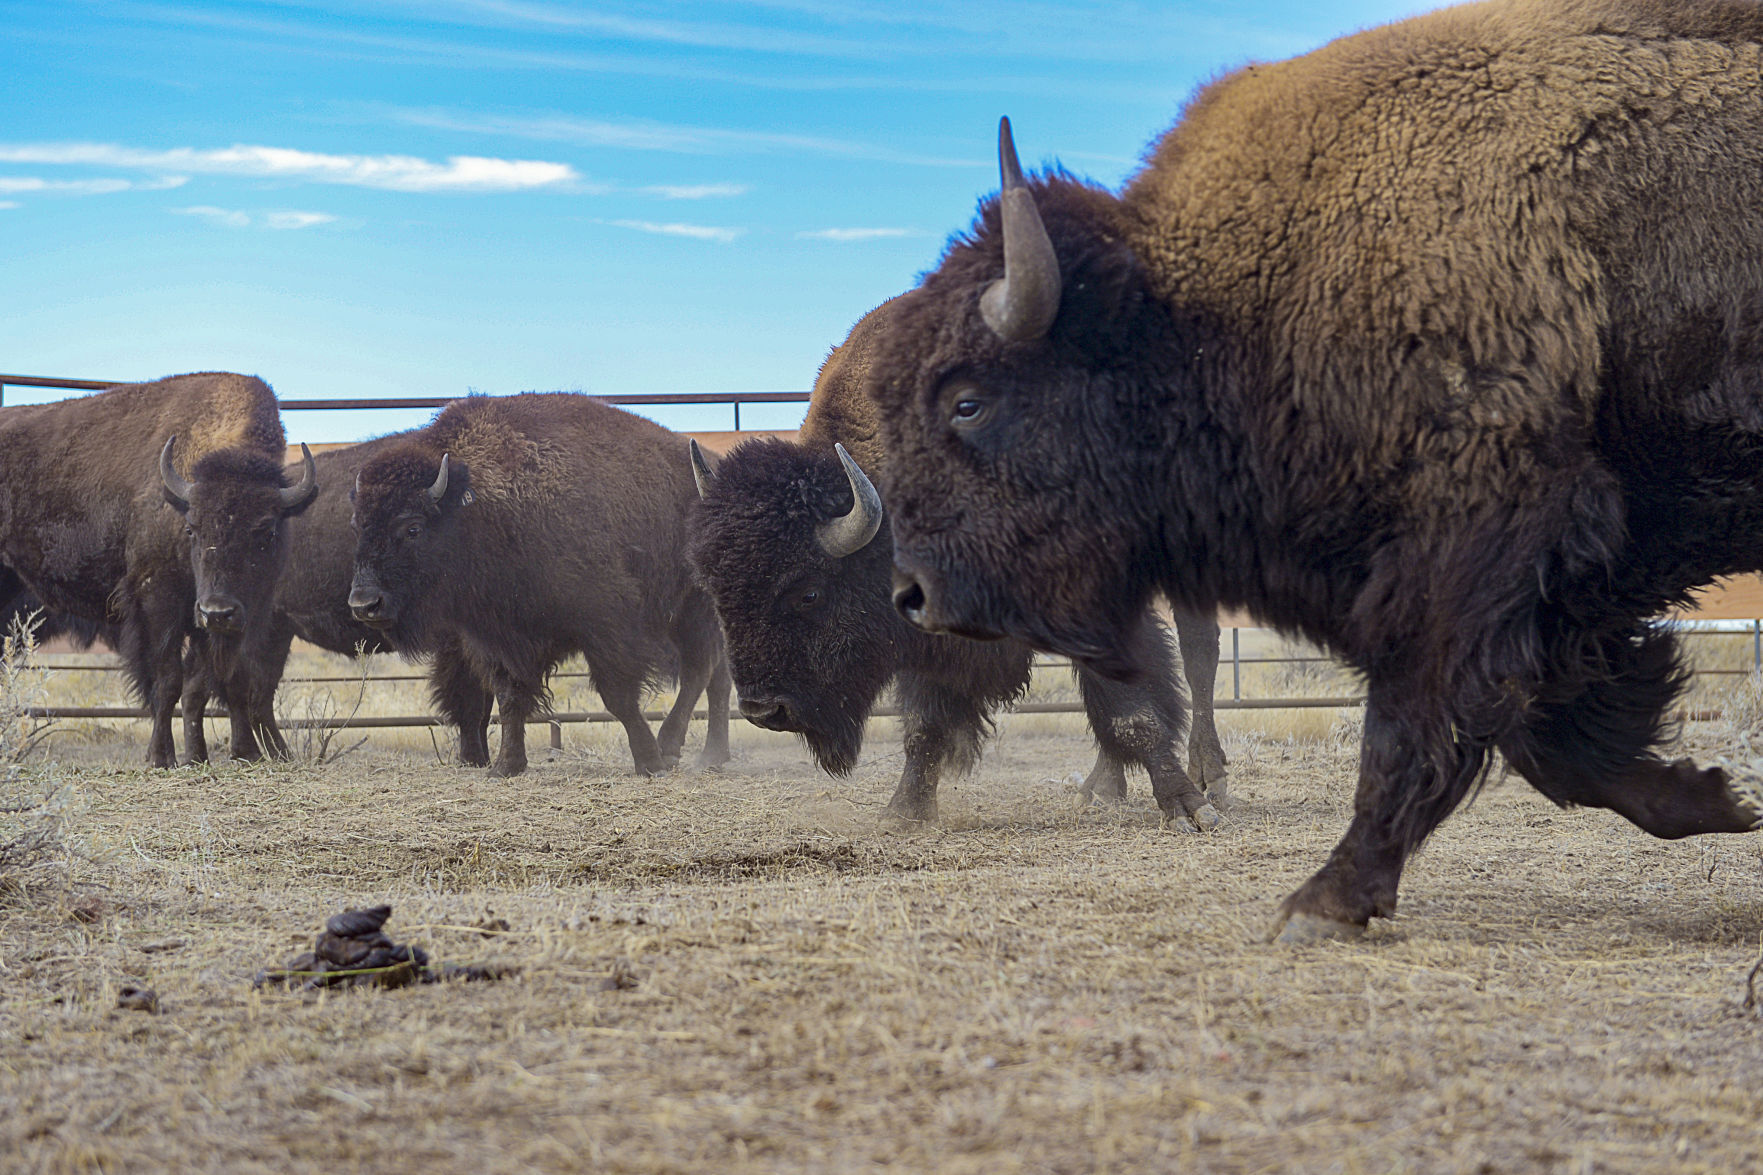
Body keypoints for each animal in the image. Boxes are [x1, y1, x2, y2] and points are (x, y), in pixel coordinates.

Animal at [0, 370, 312, 765]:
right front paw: (161, 757)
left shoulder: (243, 613)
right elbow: (168, 680)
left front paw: (238, 753)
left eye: (268, 529)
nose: (217, 611)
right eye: (192, 528)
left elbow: (227, 679)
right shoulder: (158, 601)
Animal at [343, 393, 729, 776]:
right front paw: (506, 765)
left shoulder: (607, 622)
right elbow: (509, 697)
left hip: (695, 608)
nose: (364, 604)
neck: (481, 511)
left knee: (700, 670)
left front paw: (650, 762)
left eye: (413, 528)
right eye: (357, 525)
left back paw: (672, 747)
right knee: (715, 677)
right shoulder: (498, 638)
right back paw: (713, 754)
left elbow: (617, 695)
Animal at [684, 299, 1227, 822]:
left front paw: (1187, 807)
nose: (762, 709)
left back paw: (1211, 781)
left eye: (809, 592)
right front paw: (905, 812)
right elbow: (925, 725)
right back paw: (1103, 788)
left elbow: (1132, 712)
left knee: (1199, 655)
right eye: (716, 594)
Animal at [874, 0, 1763, 938]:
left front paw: (1322, 901)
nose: (913, 593)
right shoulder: (1564, 581)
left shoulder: (1468, 552)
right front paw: (1714, 797)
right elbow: (1555, 736)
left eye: (967, 401)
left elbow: (1417, 724)